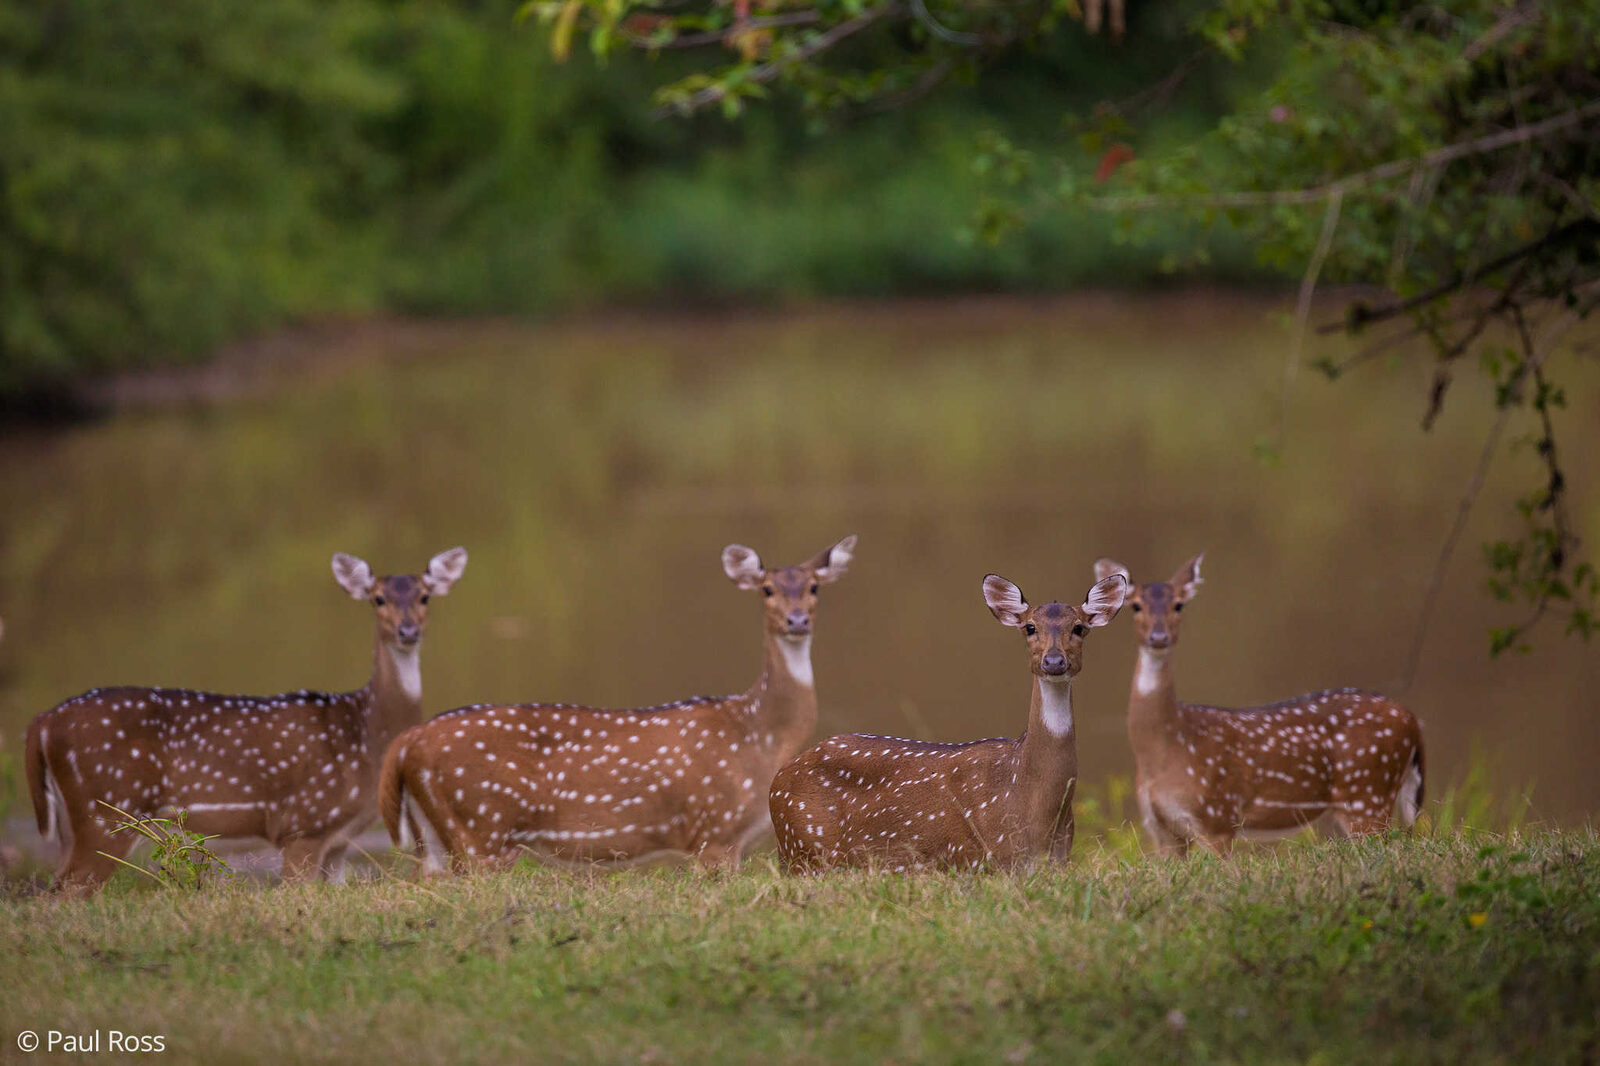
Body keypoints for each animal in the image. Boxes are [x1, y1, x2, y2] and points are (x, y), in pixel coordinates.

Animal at [23, 547, 468, 895]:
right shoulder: (303, 821)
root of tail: (42, 722)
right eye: (378, 599)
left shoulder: (339, 840)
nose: (407, 631)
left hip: (72, 822)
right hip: (107, 807)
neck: (365, 735)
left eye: (425, 596)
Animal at [379, 535, 856, 873]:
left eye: (814, 587)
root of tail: (408, 742)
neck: (759, 733)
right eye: (767, 590)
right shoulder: (714, 829)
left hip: (438, 836)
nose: (797, 620)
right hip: (480, 823)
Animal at [768, 571, 1128, 873]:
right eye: (1029, 627)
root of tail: (777, 781)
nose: (1054, 661)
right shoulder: (978, 859)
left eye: (1079, 627)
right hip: (803, 848)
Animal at [1093, 554, 1425, 856]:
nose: (1159, 637)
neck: (1167, 749)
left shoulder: (1218, 815)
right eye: (1136, 606)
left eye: (1179, 605)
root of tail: (1412, 720)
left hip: (1368, 791)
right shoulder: (1163, 830)